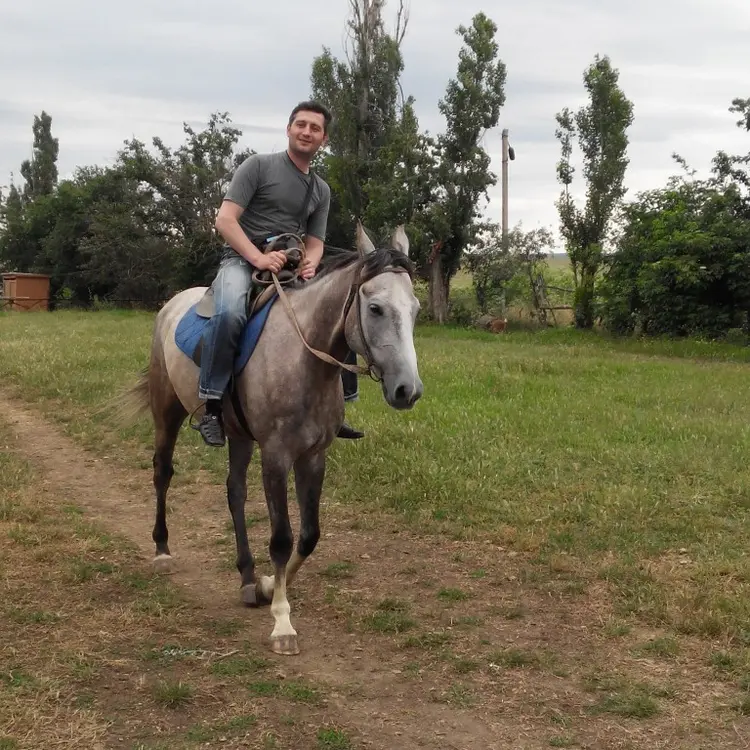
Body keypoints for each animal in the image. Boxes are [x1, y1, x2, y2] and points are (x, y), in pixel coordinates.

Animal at [116, 220, 424, 656]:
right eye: (376, 308)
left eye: (415, 310)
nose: (407, 390)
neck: (304, 360)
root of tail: (172, 304)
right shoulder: (276, 456)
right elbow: (281, 538)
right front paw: (282, 623)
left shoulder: (313, 456)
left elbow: (308, 536)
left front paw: (264, 585)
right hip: (167, 412)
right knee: (162, 472)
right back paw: (162, 550)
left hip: (240, 436)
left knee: (235, 492)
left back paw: (246, 577)